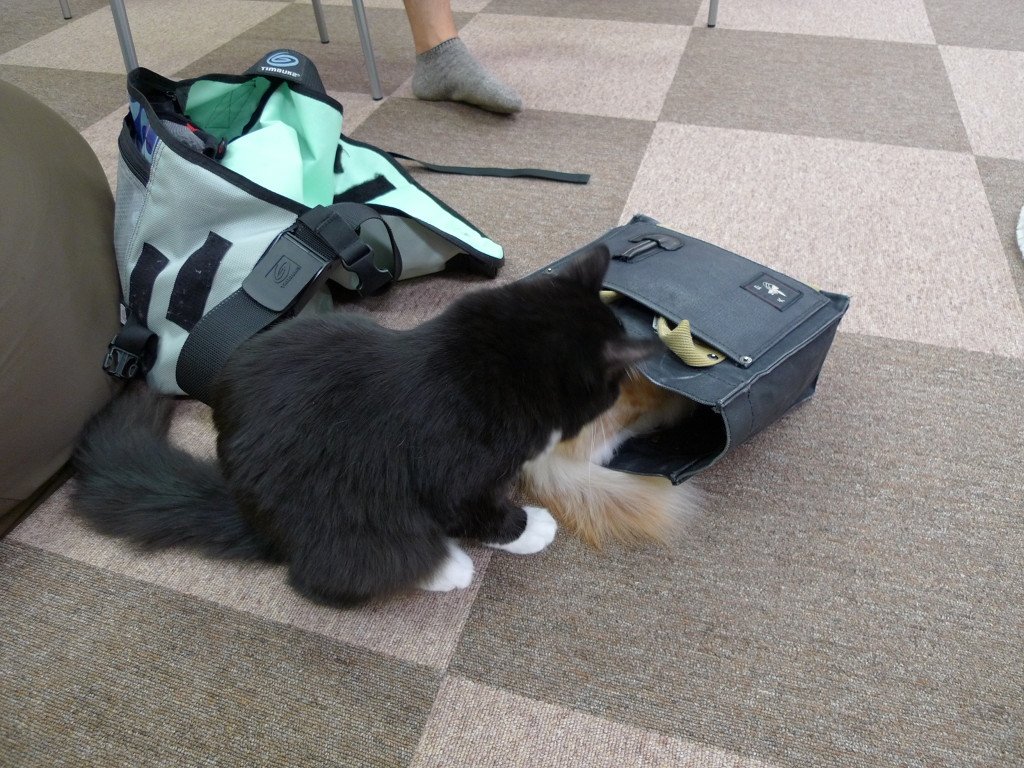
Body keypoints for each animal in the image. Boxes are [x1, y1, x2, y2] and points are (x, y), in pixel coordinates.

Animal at [70, 245, 661, 606]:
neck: (495, 359)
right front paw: (529, 527)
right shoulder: (453, 478)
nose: (616, 397)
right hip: (344, 522)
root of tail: (252, 517)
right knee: (332, 575)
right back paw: (445, 569)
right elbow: (480, 514)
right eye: (611, 386)